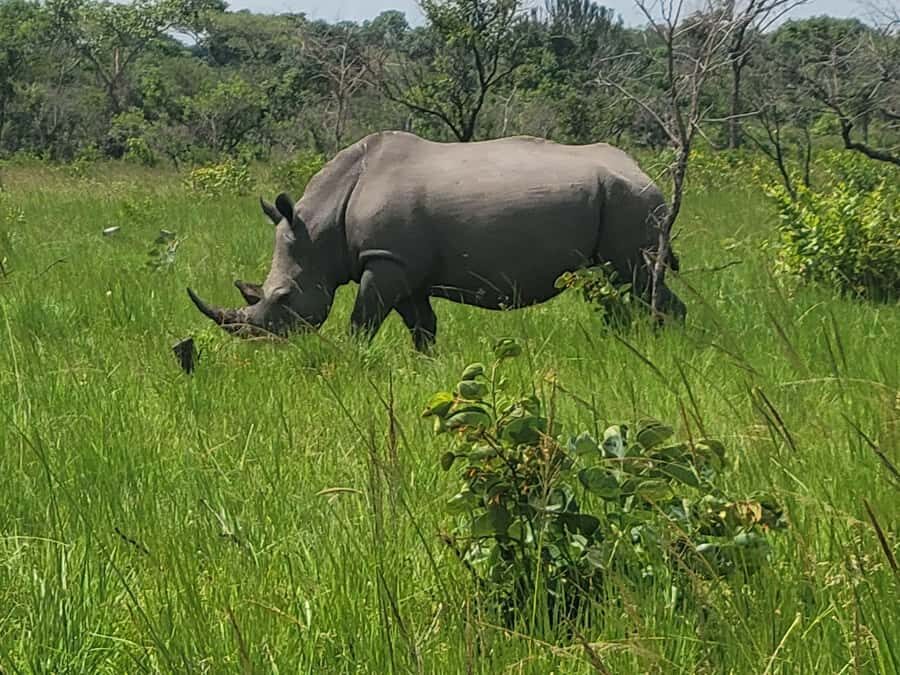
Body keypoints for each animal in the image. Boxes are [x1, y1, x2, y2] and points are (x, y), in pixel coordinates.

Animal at [187, 131, 685, 351]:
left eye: (284, 297)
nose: (261, 346)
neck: (321, 225)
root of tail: (644, 172)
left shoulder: (385, 261)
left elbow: (362, 321)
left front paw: (352, 361)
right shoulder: (402, 266)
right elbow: (421, 325)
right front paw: (425, 364)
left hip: (631, 201)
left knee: (637, 275)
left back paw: (665, 344)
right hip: (620, 199)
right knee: (617, 281)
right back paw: (623, 342)